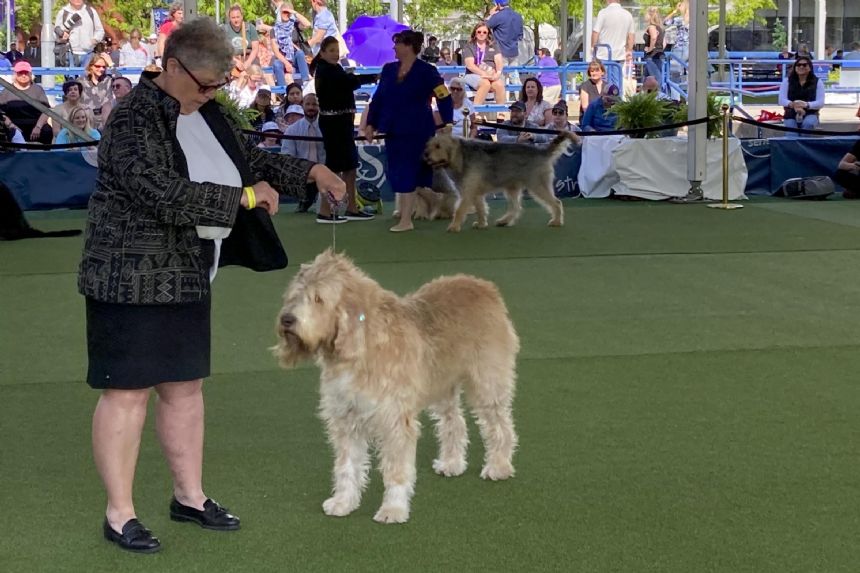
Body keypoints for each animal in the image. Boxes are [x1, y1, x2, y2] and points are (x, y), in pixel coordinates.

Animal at [274, 250, 516, 524]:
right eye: (294, 296)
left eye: (318, 299)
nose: (287, 320)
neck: (359, 349)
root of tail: (485, 287)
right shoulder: (346, 420)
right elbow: (346, 467)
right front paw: (344, 501)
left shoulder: (395, 422)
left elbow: (396, 470)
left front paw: (393, 509)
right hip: (442, 387)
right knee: (454, 423)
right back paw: (451, 463)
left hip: (487, 384)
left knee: (501, 426)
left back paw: (499, 465)